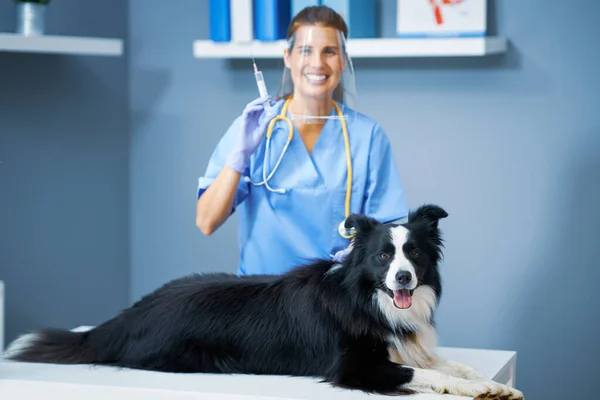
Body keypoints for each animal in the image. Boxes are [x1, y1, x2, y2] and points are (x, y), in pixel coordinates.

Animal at [4, 205, 524, 398]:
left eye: (413, 253)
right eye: (383, 255)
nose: (403, 277)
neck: (365, 298)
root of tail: (125, 317)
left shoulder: (410, 345)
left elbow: (454, 364)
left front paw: (493, 384)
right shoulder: (354, 368)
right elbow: (424, 373)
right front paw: (476, 389)